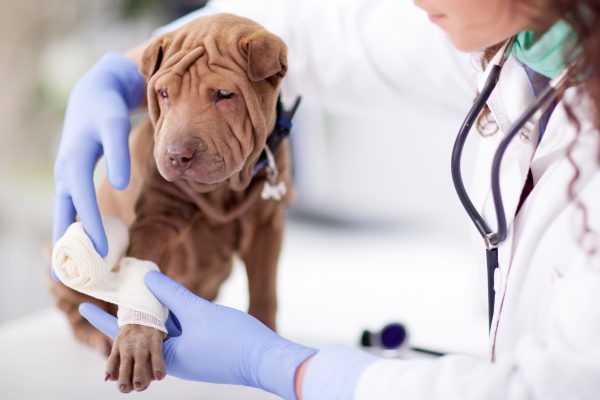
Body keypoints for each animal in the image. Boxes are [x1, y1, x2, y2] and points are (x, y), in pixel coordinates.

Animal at [49, 13, 292, 394]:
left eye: (224, 95)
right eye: (164, 94)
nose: (177, 155)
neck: (224, 190)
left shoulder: (268, 224)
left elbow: (265, 286)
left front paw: (265, 337)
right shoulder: (156, 218)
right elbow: (144, 272)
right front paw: (135, 342)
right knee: (77, 311)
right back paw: (100, 335)